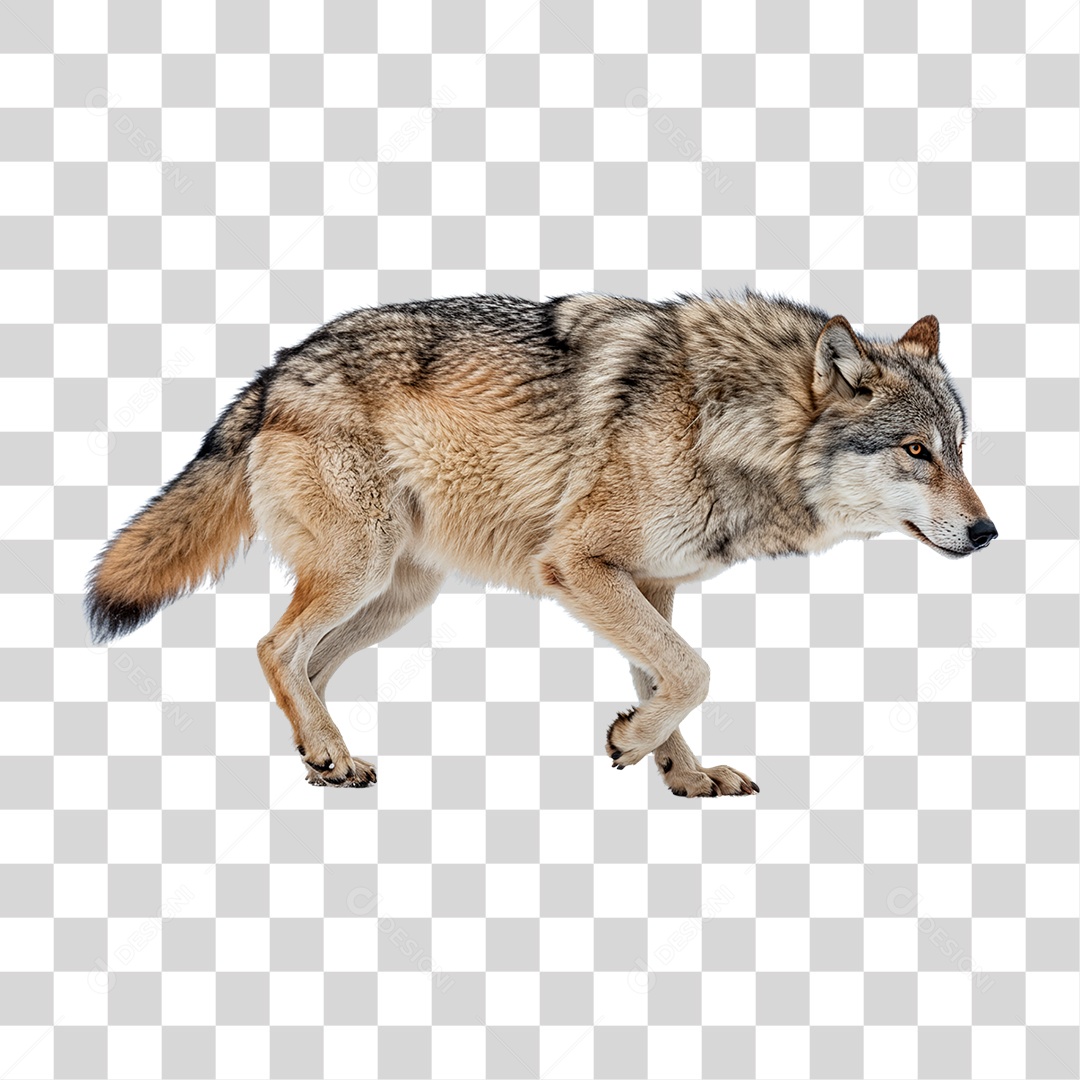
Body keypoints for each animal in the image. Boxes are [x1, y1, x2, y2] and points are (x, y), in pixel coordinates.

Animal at [86, 289, 996, 798]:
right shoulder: (580, 567)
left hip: (398, 597)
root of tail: (276, 367)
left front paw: (682, 774)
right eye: (915, 451)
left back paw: (326, 759)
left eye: (959, 449)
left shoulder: (649, 585)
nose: (989, 533)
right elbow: (693, 672)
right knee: (273, 647)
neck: (724, 421)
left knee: (307, 665)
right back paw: (329, 755)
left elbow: (667, 676)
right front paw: (631, 742)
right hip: (361, 571)